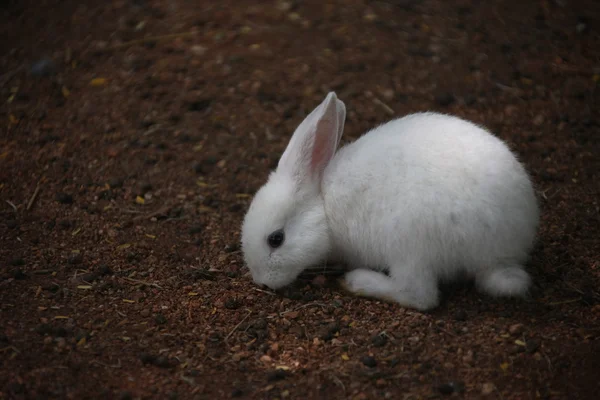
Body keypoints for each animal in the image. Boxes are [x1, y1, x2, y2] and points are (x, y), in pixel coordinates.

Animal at [241, 92, 540, 310]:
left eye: (276, 239)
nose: (262, 282)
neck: (323, 205)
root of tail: (504, 252)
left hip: (408, 241)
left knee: (420, 295)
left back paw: (358, 281)